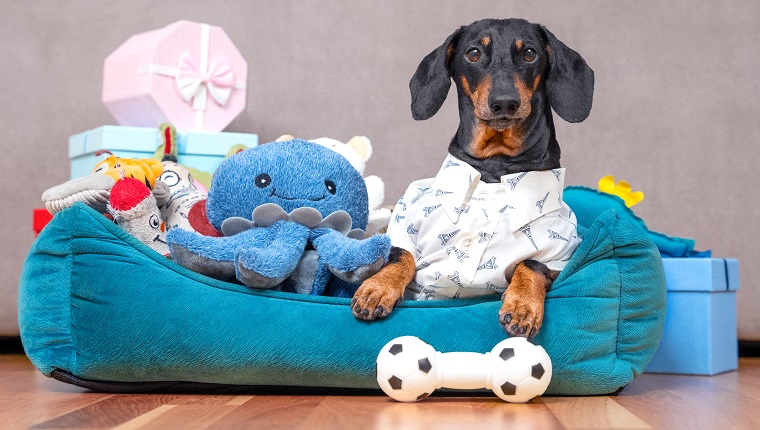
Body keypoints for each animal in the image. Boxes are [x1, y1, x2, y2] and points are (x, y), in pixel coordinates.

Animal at [350, 17, 592, 340]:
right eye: (474, 53)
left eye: (530, 53)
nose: (504, 103)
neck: (495, 169)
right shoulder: (404, 225)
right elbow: (402, 255)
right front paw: (377, 288)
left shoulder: (562, 252)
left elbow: (531, 264)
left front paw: (522, 305)